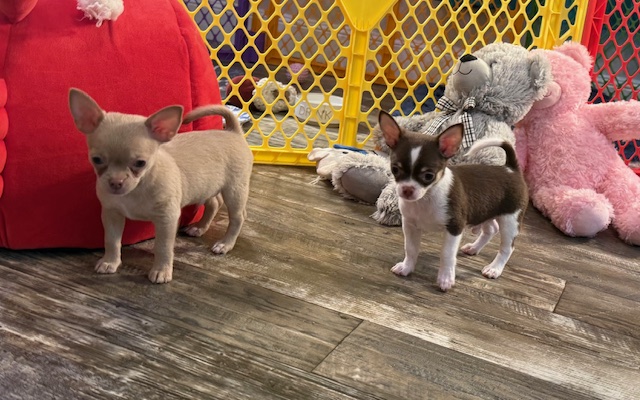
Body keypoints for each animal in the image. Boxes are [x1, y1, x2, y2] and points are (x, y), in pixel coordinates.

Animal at [68, 88, 253, 283]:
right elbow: (111, 241)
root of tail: (233, 132)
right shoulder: (112, 214)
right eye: (96, 159)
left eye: (140, 163)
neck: (137, 188)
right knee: (215, 203)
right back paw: (200, 227)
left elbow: (163, 247)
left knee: (238, 217)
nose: (116, 182)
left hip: (234, 190)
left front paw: (161, 271)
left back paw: (225, 244)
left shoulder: (167, 219)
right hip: (207, 186)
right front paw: (110, 261)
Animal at [378, 110, 528, 291]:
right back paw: (473, 248)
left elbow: (447, 255)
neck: (427, 197)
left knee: (507, 248)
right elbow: (411, 248)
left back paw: (494, 269)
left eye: (428, 175)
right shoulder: (410, 225)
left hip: (510, 220)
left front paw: (445, 279)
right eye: (395, 169)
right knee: (491, 229)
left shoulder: (455, 227)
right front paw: (406, 267)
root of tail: (510, 168)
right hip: (485, 211)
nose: (407, 190)